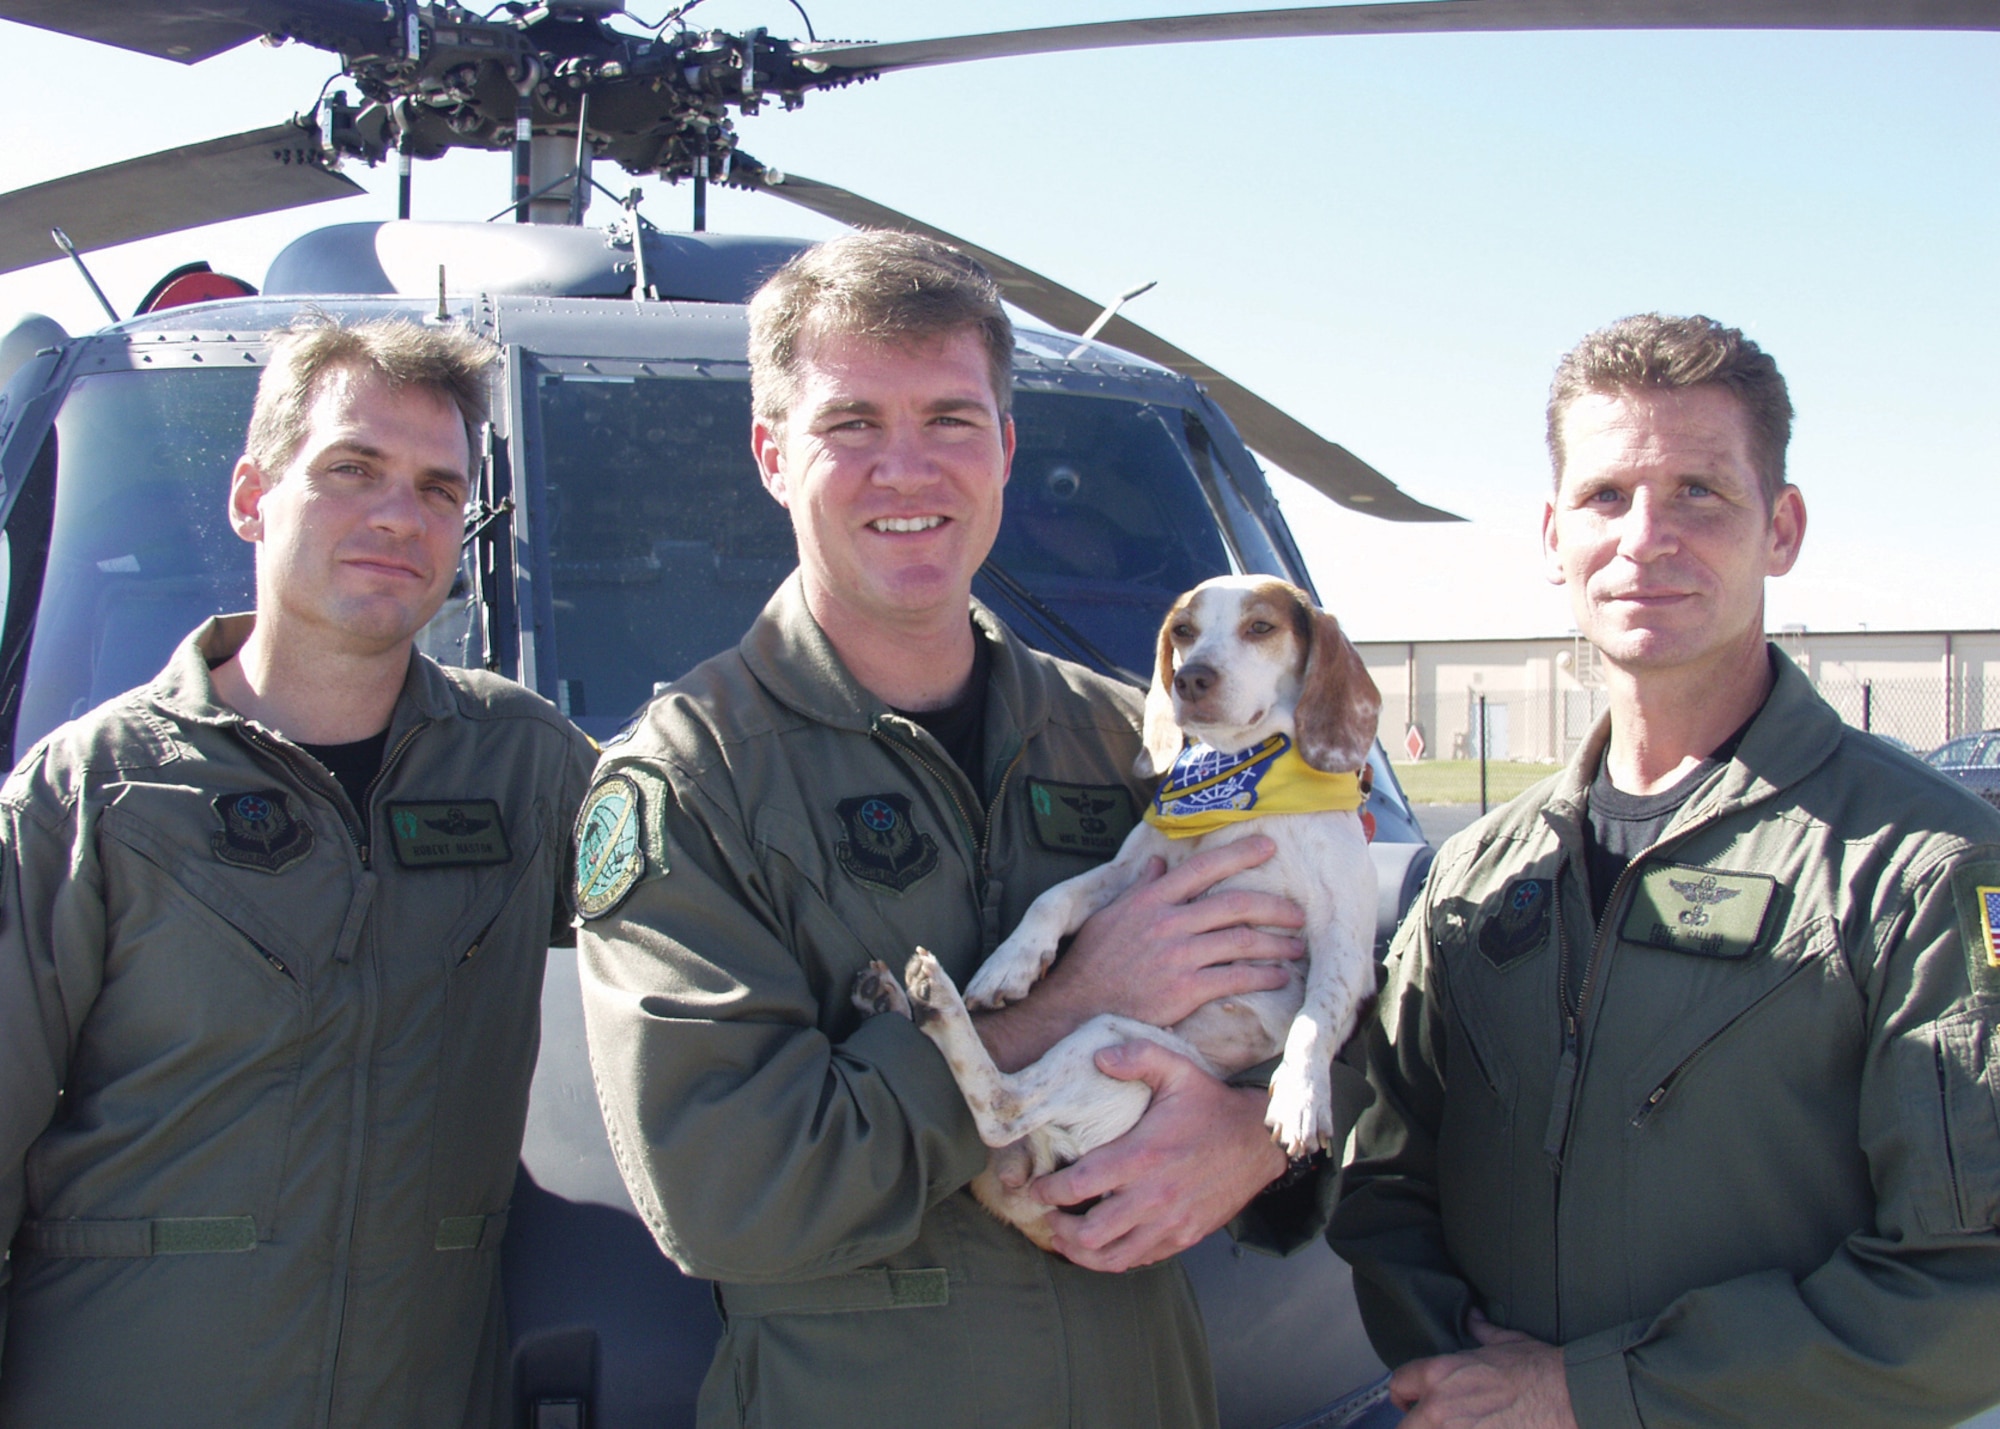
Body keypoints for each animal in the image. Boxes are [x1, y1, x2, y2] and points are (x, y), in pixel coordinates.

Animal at [852, 572, 1384, 1240]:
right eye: (1183, 630)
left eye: (1261, 627)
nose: (1192, 679)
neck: (1237, 782)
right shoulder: (1132, 871)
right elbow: (1052, 899)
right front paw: (1009, 964)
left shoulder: (1346, 941)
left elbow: (1316, 1018)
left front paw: (1301, 1095)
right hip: (1109, 1038)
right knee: (1000, 1106)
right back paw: (911, 998)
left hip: (1109, 1039)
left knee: (1002, 1108)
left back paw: (921, 999)